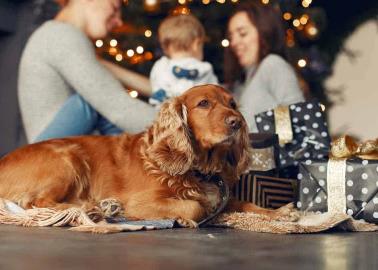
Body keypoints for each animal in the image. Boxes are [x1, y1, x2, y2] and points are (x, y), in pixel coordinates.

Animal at [0, 84, 296, 226]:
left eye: (232, 104)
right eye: (204, 103)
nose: (237, 122)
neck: (199, 169)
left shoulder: (223, 200)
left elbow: (247, 204)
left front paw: (280, 213)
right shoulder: (141, 202)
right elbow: (194, 206)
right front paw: (184, 218)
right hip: (68, 158)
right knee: (37, 203)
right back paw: (91, 208)